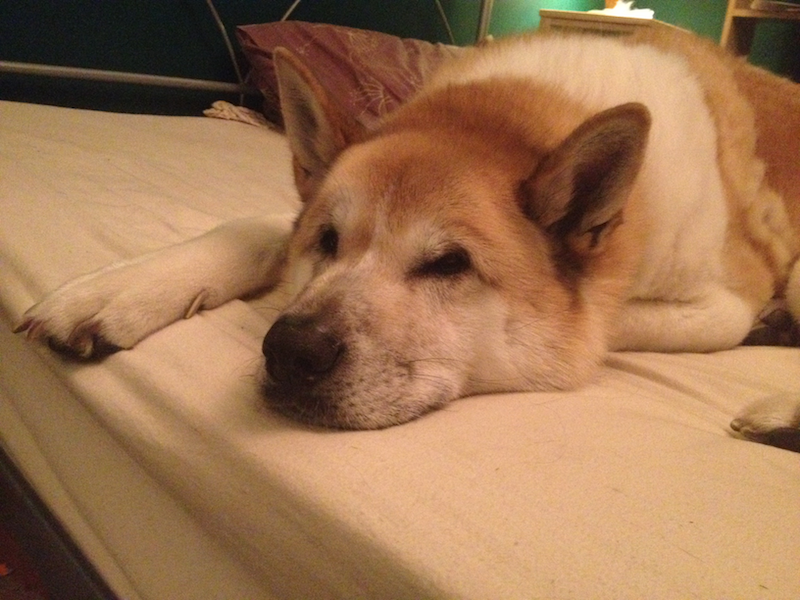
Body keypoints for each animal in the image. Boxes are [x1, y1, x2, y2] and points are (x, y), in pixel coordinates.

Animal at [12, 29, 800, 450]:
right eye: (328, 241)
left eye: (449, 263)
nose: (290, 349)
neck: (508, 117)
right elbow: (257, 227)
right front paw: (120, 288)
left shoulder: (715, 307)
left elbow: (595, 332)